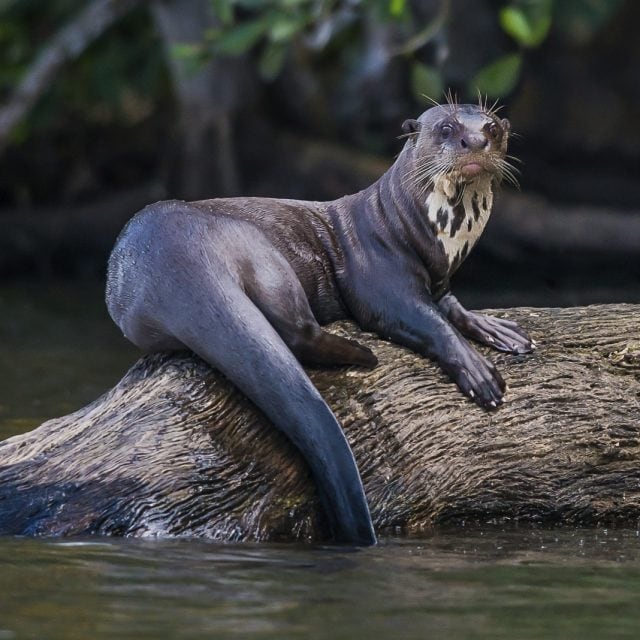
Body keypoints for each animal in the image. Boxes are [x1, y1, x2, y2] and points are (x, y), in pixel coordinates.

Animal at [106, 101, 533, 545]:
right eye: (447, 128)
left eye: (491, 127)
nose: (475, 141)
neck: (416, 230)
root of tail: (174, 258)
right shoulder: (379, 279)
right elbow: (425, 321)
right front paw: (478, 372)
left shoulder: (440, 280)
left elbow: (453, 307)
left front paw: (498, 330)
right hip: (259, 251)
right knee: (296, 330)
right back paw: (362, 355)